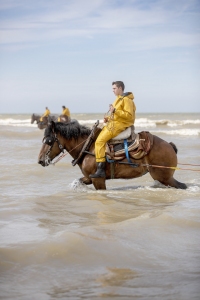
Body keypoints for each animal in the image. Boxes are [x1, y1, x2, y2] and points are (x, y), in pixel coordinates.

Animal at [38, 120, 188, 189]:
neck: (88, 146)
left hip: (164, 177)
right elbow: (78, 182)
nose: (40, 160)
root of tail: (169, 145)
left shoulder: (98, 180)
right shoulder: (89, 178)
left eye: (49, 140)